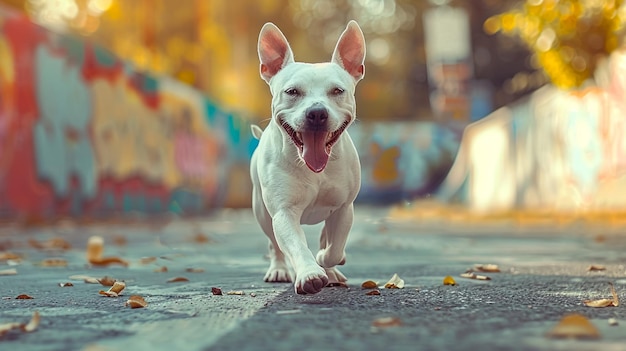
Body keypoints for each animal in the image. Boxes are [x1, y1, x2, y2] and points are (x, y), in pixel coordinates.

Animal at [250, 22, 366, 296]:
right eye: (292, 91)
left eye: (338, 91)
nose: (317, 113)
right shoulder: (284, 212)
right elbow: (296, 244)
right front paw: (310, 274)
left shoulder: (343, 208)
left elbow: (335, 246)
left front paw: (327, 259)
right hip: (262, 212)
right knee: (274, 245)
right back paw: (279, 269)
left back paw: (332, 270)